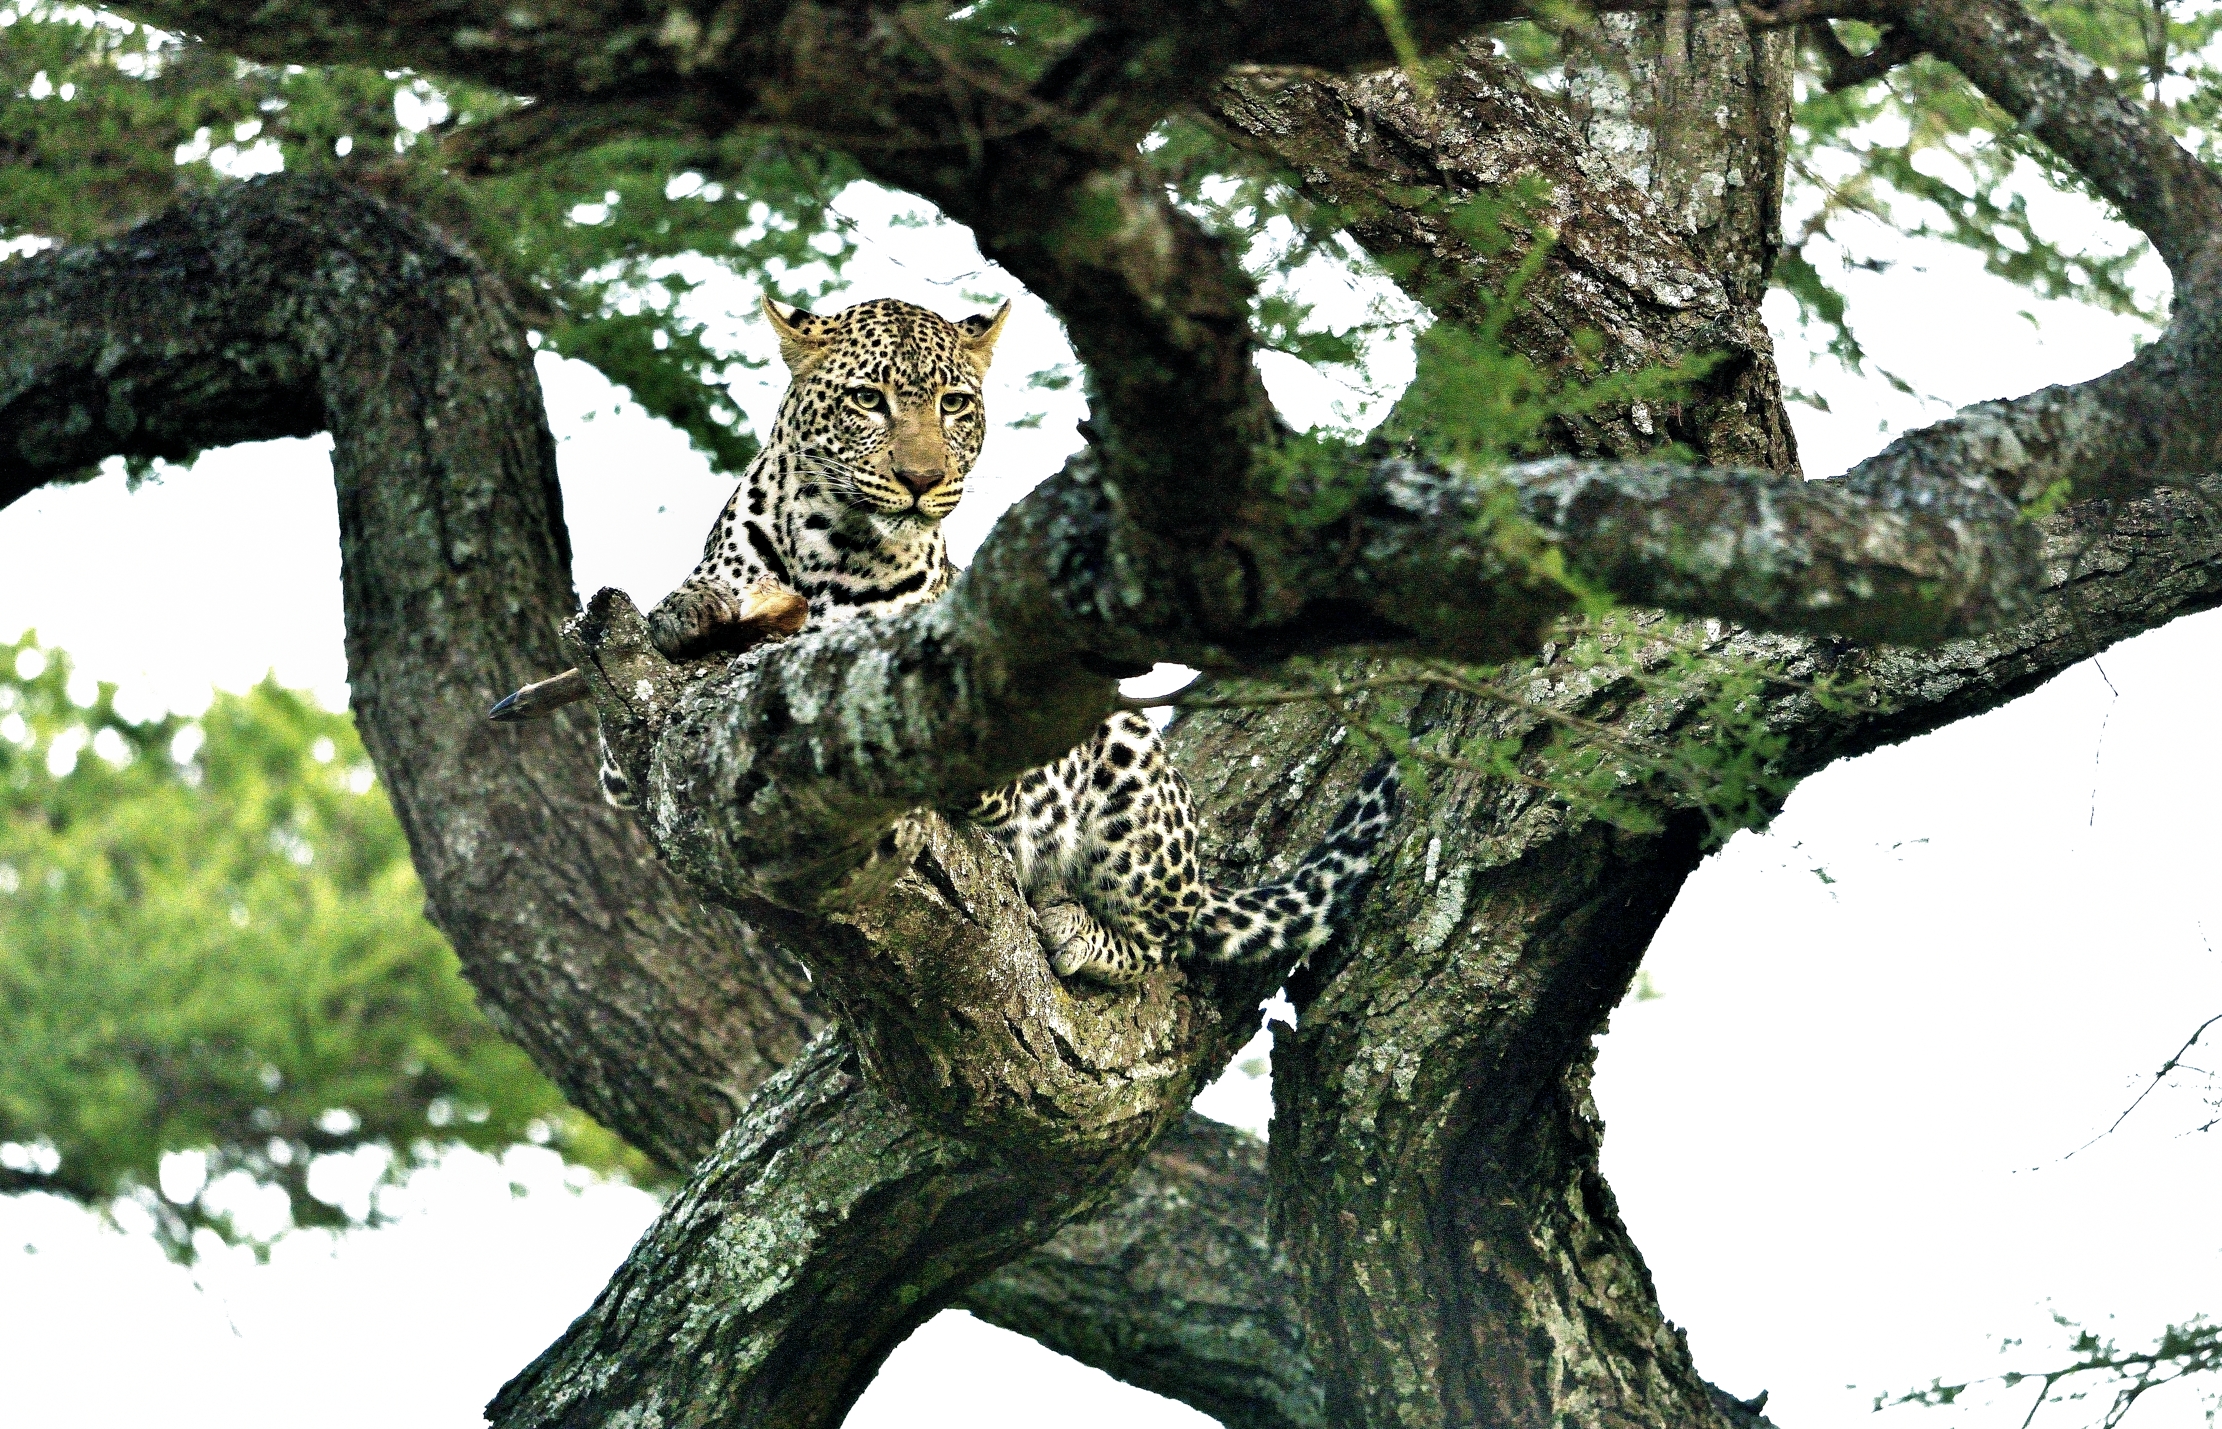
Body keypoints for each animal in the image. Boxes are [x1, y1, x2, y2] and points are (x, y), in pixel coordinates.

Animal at [620, 295, 1400, 984]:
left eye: (954, 404)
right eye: (868, 399)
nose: (921, 479)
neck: (829, 541)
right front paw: (690, 610)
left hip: (1127, 757)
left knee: (1165, 941)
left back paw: (1078, 930)